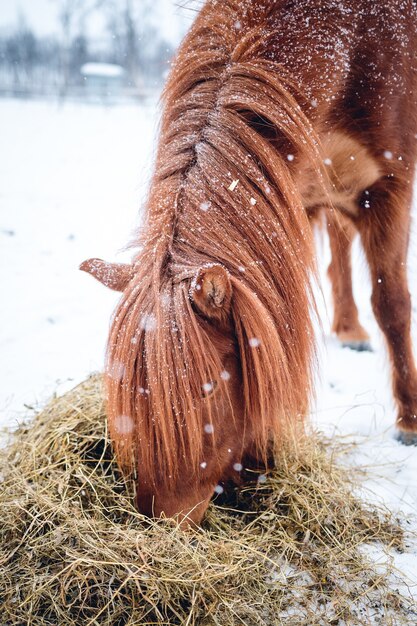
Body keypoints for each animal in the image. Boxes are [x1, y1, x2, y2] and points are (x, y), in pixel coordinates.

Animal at [81, 0, 416, 524]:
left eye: (206, 391)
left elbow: (393, 304)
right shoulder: (288, 192)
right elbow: (278, 322)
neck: (350, 43)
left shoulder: (390, 185)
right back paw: (348, 327)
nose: (159, 520)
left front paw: (409, 422)